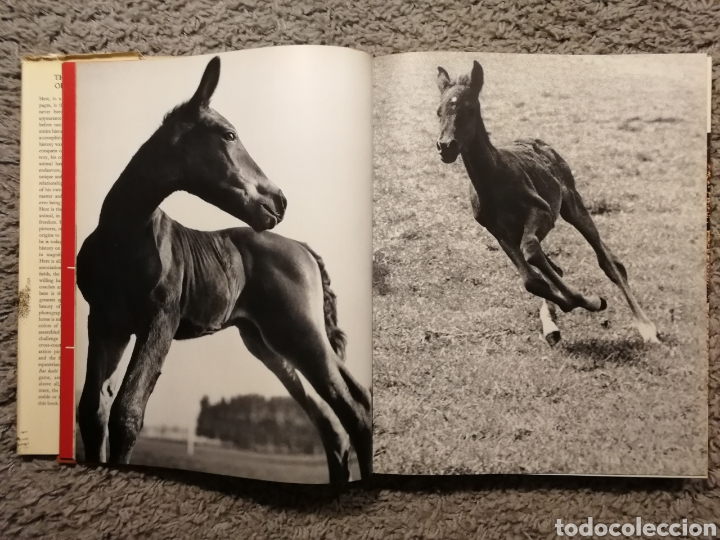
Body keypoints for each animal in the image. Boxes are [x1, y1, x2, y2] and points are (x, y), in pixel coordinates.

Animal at [76, 56, 372, 485]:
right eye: (229, 134)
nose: (280, 200)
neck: (124, 236)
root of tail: (302, 248)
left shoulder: (160, 319)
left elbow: (127, 414)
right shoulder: (105, 323)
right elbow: (92, 411)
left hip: (302, 334)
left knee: (356, 406)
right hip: (270, 345)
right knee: (332, 425)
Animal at [435, 61, 659, 345]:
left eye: (470, 109)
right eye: (438, 112)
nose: (446, 147)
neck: (494, 179)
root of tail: (542, 143)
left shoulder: (542, 212)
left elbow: (532, 251)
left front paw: (593, 301)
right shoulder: (499, 232)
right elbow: (532, 280)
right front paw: (573, 305)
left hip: (572, 203)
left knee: (608, 262)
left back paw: (647, 328)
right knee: (556, 267)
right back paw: (552, 324)